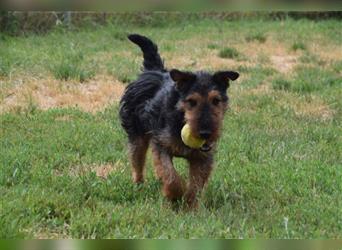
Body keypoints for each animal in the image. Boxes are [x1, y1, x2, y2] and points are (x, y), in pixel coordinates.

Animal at [119, 33, 239, 209]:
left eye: (216, 100)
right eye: (191, 101)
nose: (205, 133)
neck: (180, 119)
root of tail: (154, 70)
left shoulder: (202, 158)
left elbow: (196, 184)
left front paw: (190, 206)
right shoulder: (161, 145)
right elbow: (170, 176)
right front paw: (174, 196)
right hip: (137, 134)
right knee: (137, 164)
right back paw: (139, 186)